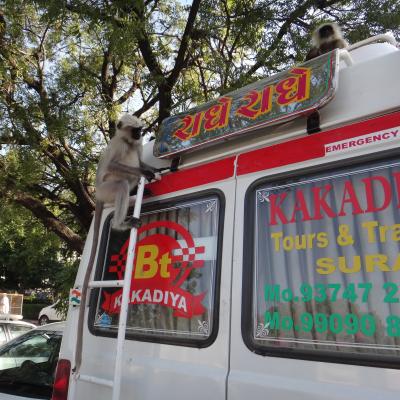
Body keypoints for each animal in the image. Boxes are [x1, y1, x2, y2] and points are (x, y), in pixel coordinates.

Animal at [73, 113, 156, 376]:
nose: (141, 134)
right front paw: (145, 171)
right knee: (120, 183)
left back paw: (136, 195)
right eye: (134, 129)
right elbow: (111, 166)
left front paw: (150, 169)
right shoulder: (119, 145)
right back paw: (121, 222)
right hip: (106, 189)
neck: (128, 142)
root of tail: (97, 196)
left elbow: (141, 159)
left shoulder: (137, 146)